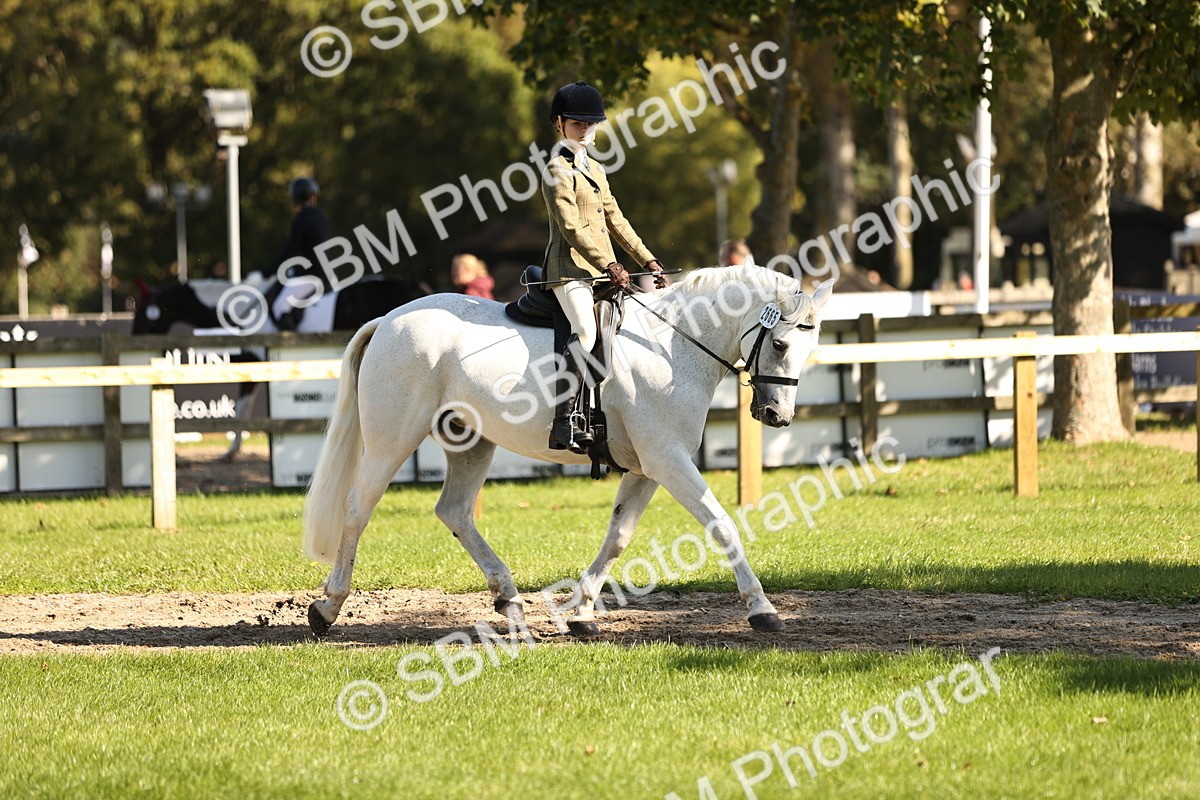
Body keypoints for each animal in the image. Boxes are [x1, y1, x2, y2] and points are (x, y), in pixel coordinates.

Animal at [302, 264, 834, 637]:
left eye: (810, 350)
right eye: (781, 344)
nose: (777, 416)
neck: (670, 344)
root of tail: (388, 319)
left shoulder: (647, 468)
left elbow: (618, 537)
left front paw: (581, 613)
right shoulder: (668, 460)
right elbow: (722, 523)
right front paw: (762, 609)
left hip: (470, 442)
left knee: (454, 511)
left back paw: (509, 598)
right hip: (392, 440)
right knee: (357, 508)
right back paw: (328, 607)